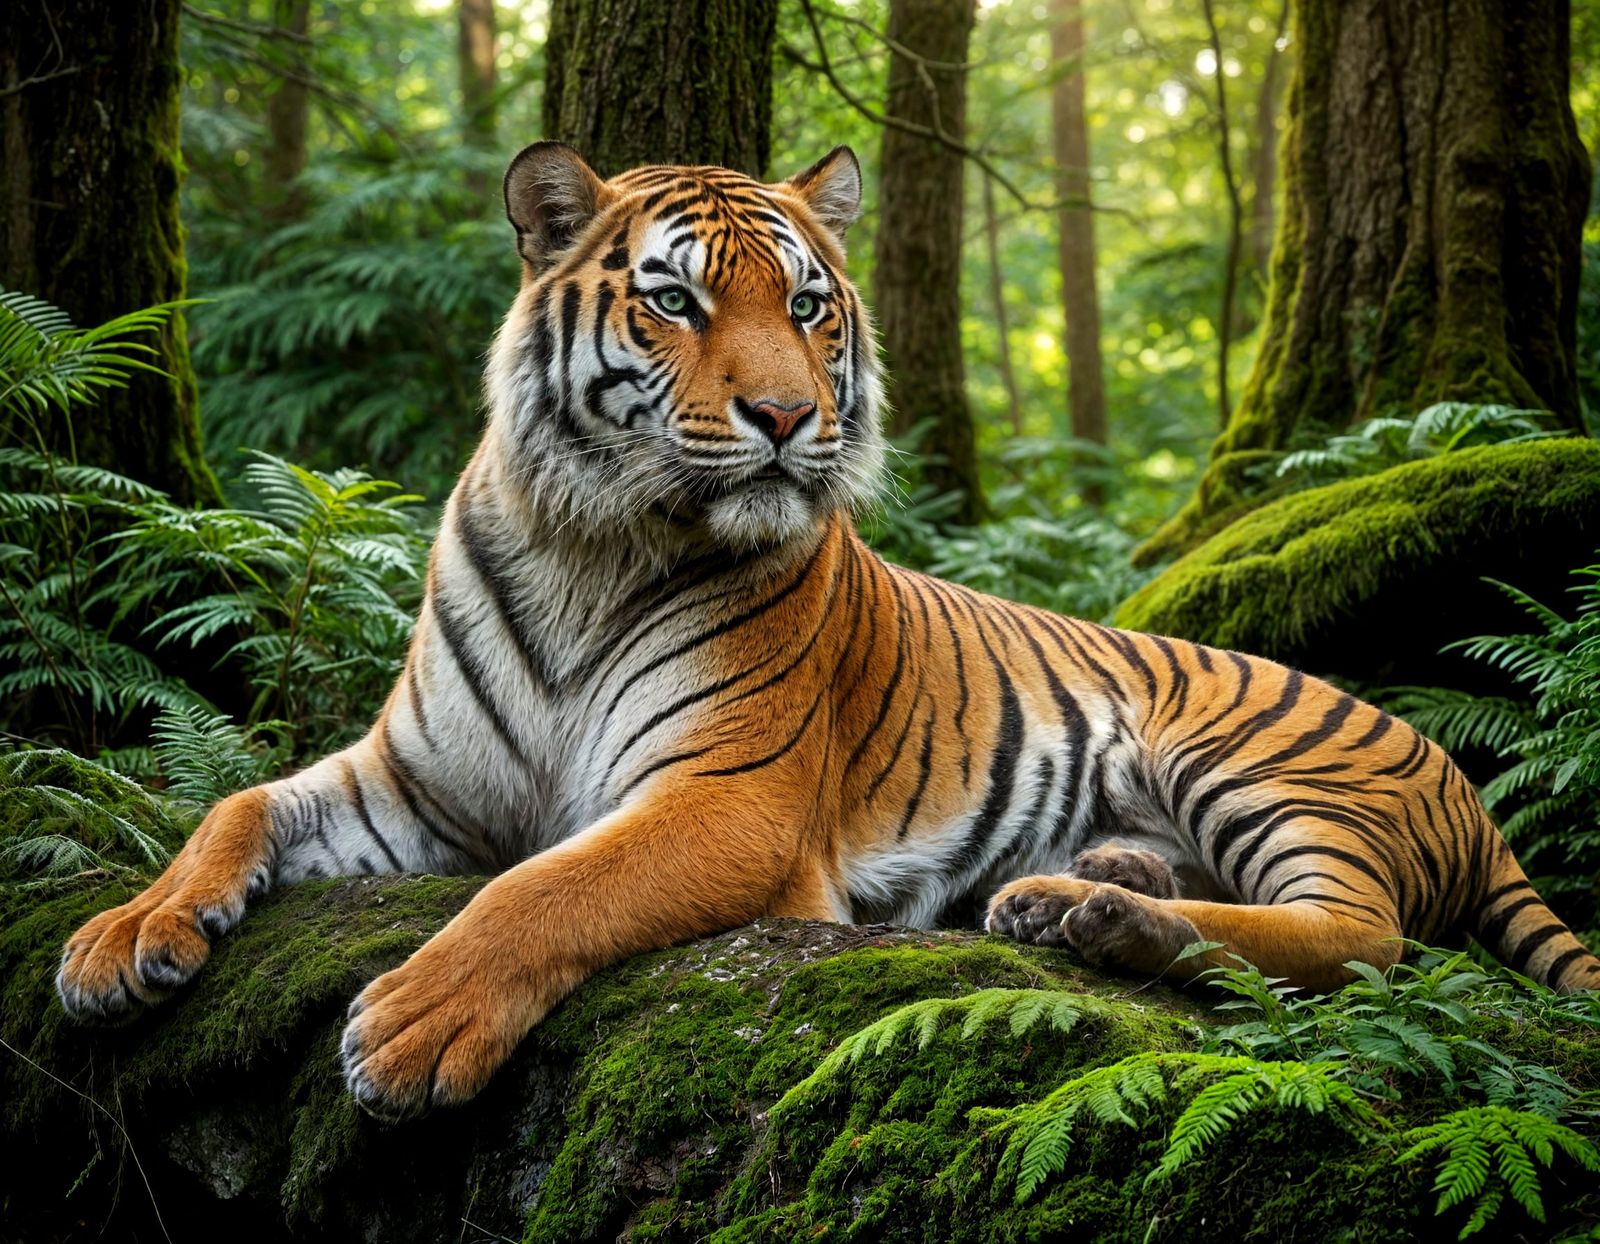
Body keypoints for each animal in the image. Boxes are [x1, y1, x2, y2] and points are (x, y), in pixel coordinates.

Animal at [56, 142, 1600, 1123]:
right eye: (674, 299)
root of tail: (1457, 772)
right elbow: (237, 805)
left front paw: (413, 1026)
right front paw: (120, 939)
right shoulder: (417, 785)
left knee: (1369, 941)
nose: (789, 417)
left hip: (1257, 759)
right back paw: (1068, 899)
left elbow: (544, 889)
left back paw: (1104, 919)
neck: (586, 543)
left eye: (806, 303)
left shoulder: (723, 802)